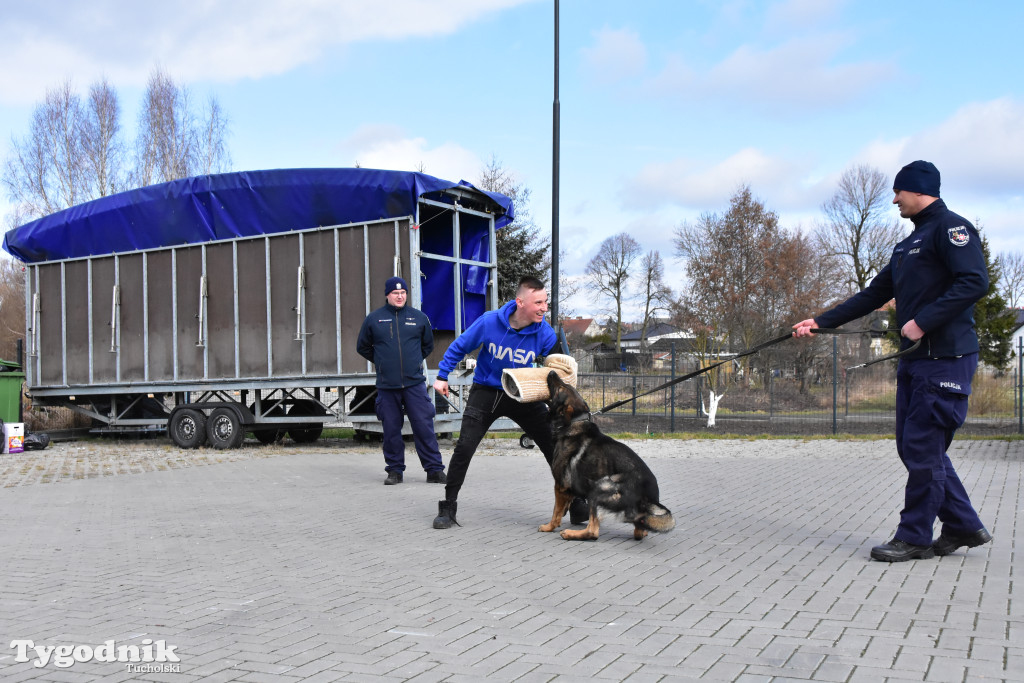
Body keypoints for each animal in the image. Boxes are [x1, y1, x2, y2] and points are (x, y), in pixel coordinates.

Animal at [540, 370, 675, 540]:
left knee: (593, 531)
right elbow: (562, 508)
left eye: (560, 389)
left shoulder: (560, 486)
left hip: (597, 488)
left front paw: (549, 527)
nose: (552, 372)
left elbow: (555, 512)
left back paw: (570, 533)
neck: (574, 421)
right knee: (640, 531)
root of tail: (650, 497)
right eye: (565, 385)